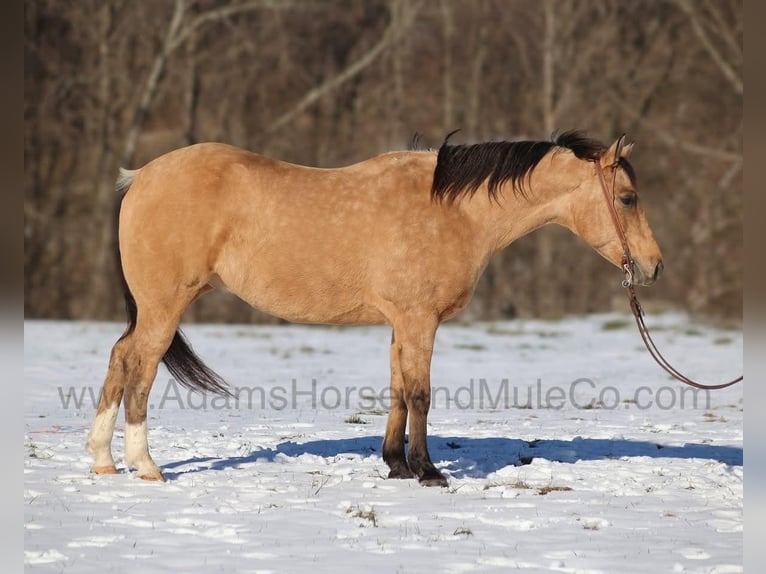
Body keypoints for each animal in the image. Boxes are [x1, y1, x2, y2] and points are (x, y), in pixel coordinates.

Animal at [87, 130, 664, 486]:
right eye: (628, 197)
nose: (653, 267)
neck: (454, 212)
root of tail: (140, 176)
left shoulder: (399, 324)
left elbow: (397, 393)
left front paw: (396, 466)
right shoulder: (419, 320)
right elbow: (421, 394)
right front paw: (428, 471)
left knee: (119, 359)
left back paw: (103, 461)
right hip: (164, 307)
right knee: (140, 367)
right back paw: (145, 465)